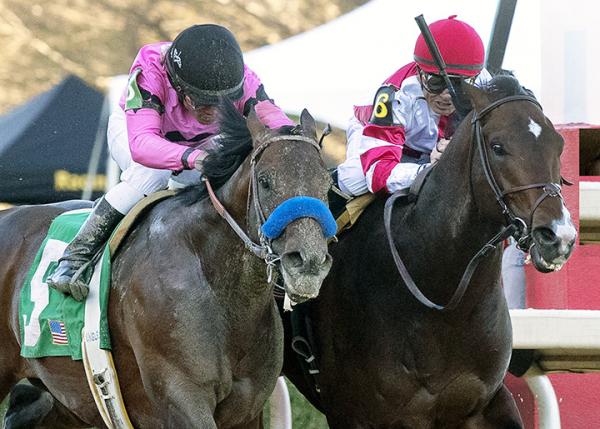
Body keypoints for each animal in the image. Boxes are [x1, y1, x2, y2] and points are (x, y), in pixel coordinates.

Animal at [0, 102, 336, 426]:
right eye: (265, 182)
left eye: (325, 183)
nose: (309, 261)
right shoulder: (181, 395)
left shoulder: (247, 408)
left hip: (68, 400)